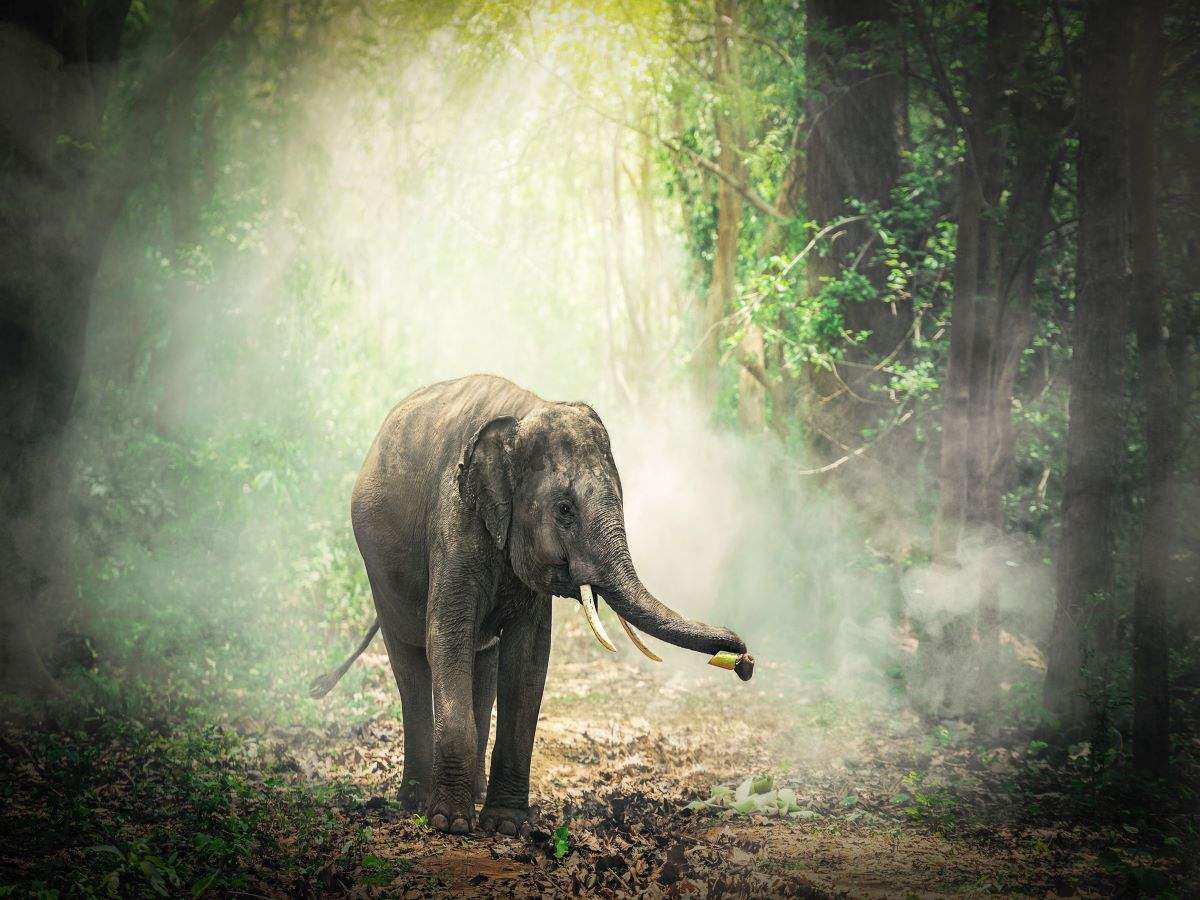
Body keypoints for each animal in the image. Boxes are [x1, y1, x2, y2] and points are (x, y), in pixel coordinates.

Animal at [311, 374, 753, 836]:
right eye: (565, 510)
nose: (744, 661)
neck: (524, 413)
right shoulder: (455, 519)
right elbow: (446, 637)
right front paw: (451, 824)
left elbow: (528, 658)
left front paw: (505, 825)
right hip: (378, 571)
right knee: (410, 662)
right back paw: (414, 800)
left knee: (483, 662)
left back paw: (474, 795)